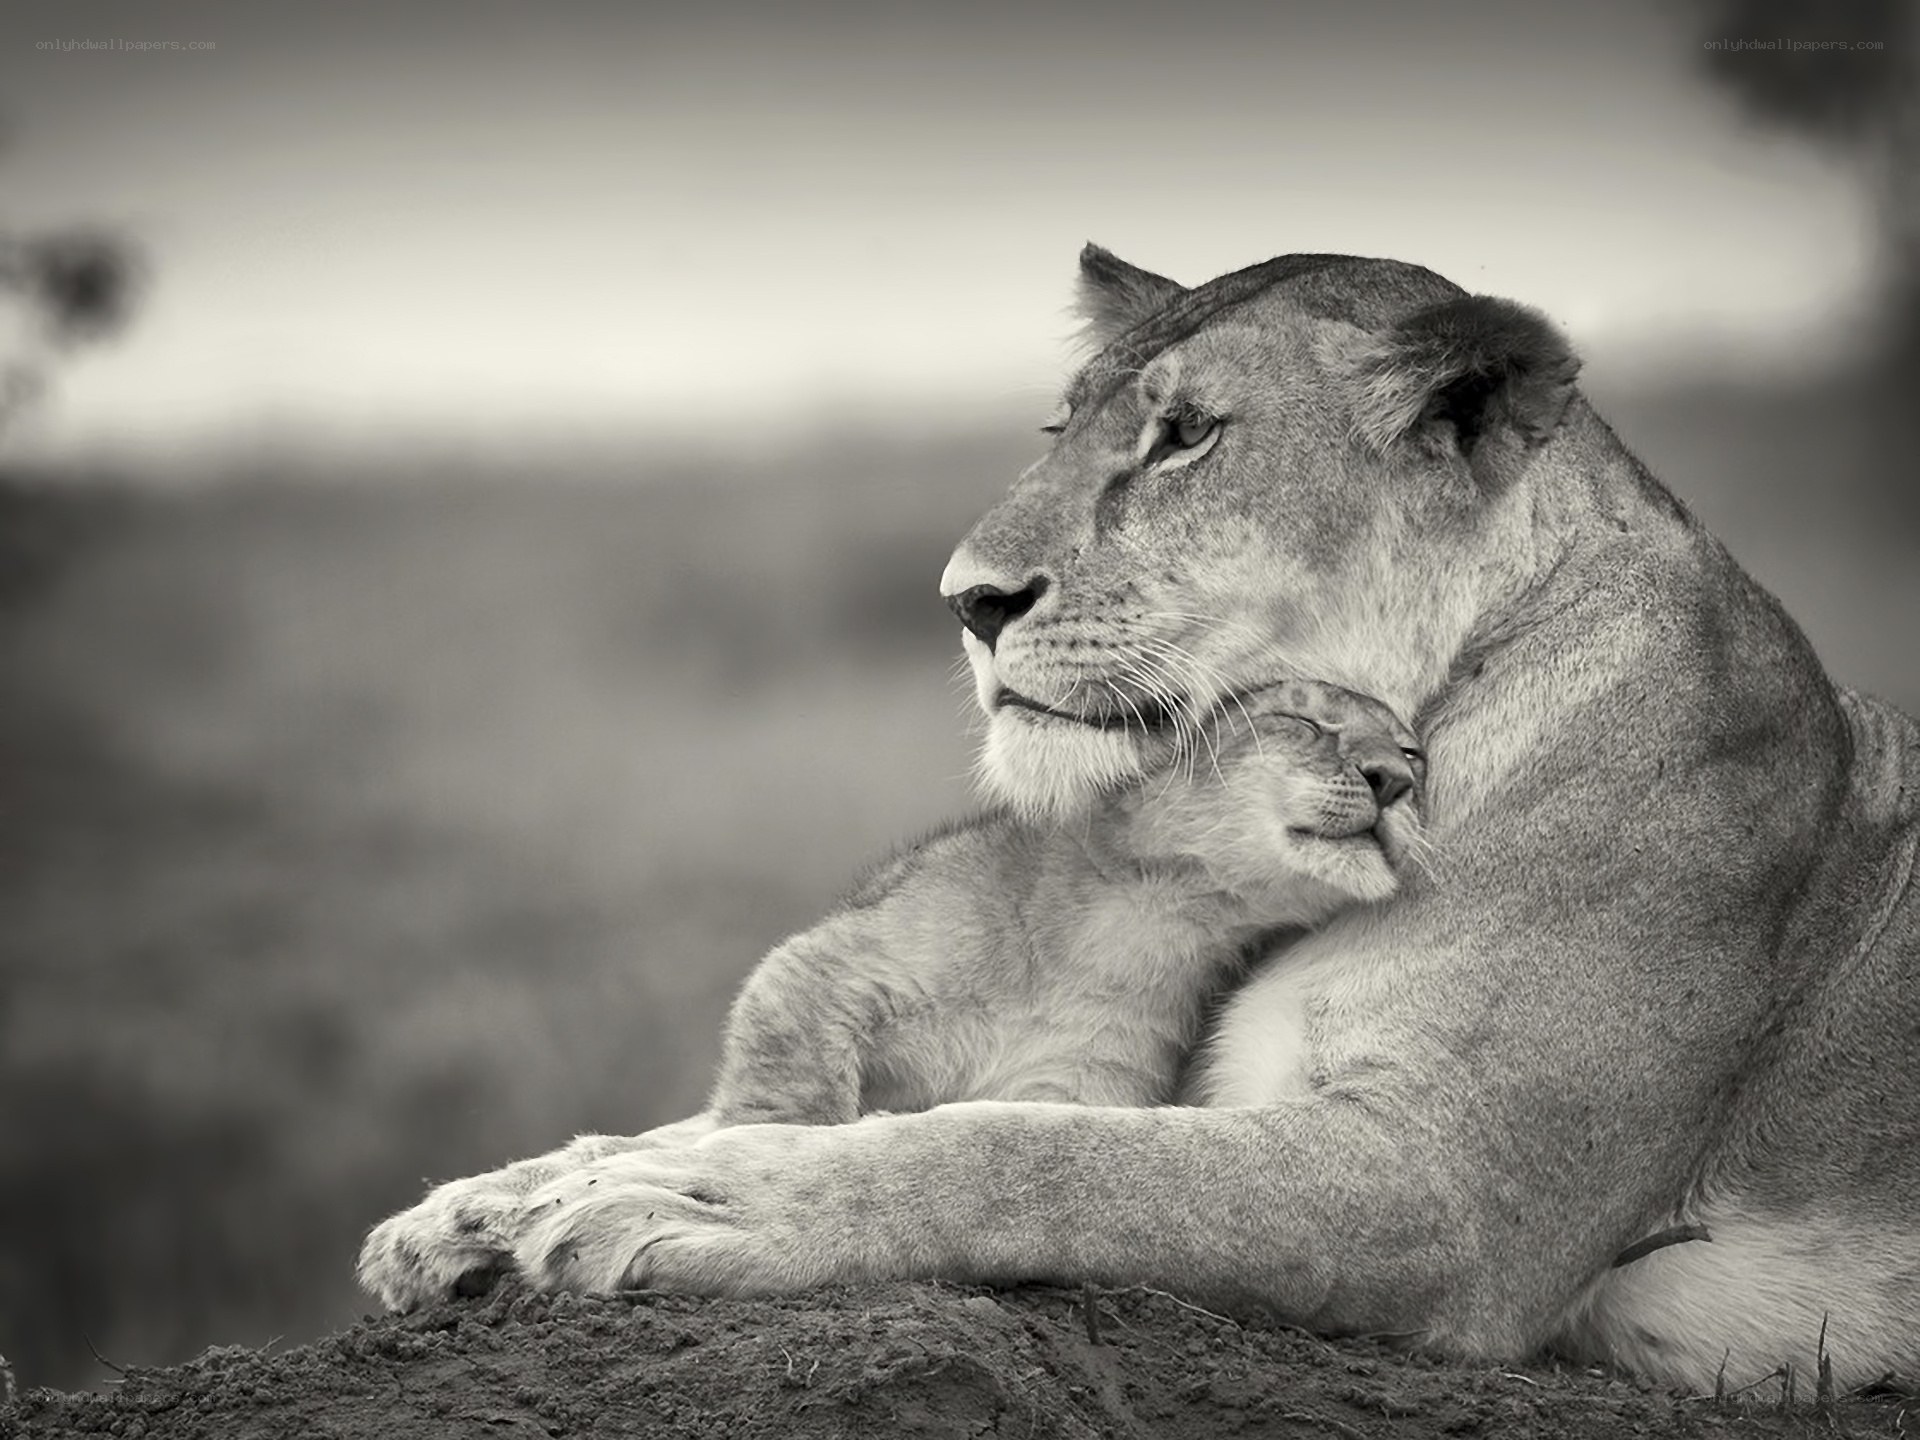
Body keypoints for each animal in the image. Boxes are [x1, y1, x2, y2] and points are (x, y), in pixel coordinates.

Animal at [358, 245, 1920, 1392]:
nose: (967, 601)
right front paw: (487, 1210)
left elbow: (1032, 1156)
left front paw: (696, 1204)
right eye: (1065, 431)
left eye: (1185, 439)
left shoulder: (1456, 1192)